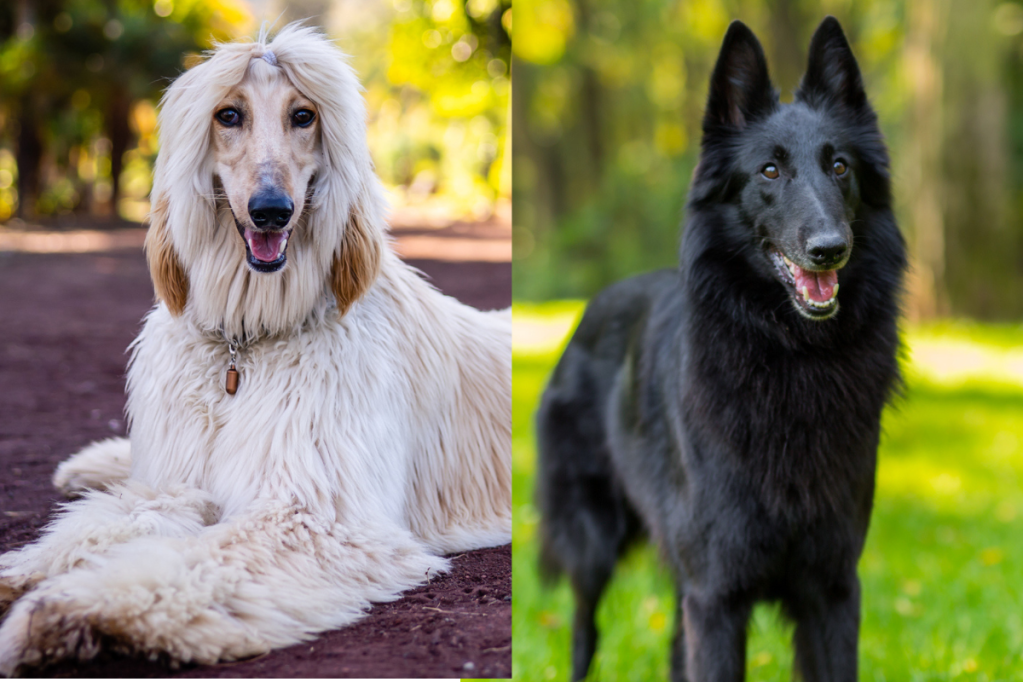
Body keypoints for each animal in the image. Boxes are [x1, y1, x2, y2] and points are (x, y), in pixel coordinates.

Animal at [0, 24, 511, 674]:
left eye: (303, 115)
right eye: (229, 115)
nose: (272, 211)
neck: (244, 343)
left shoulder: (314, 517)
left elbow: (191, 561)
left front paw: (66, 609)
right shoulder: (178, 482)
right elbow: (97, 526)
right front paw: (22, 574)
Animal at [536, 15, 904, 682]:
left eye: (839, 166)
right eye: (769, 172)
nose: (829, 249)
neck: (792, 359)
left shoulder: (832, 590)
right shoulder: (717, 595)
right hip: (594, 548)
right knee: (583, 632)